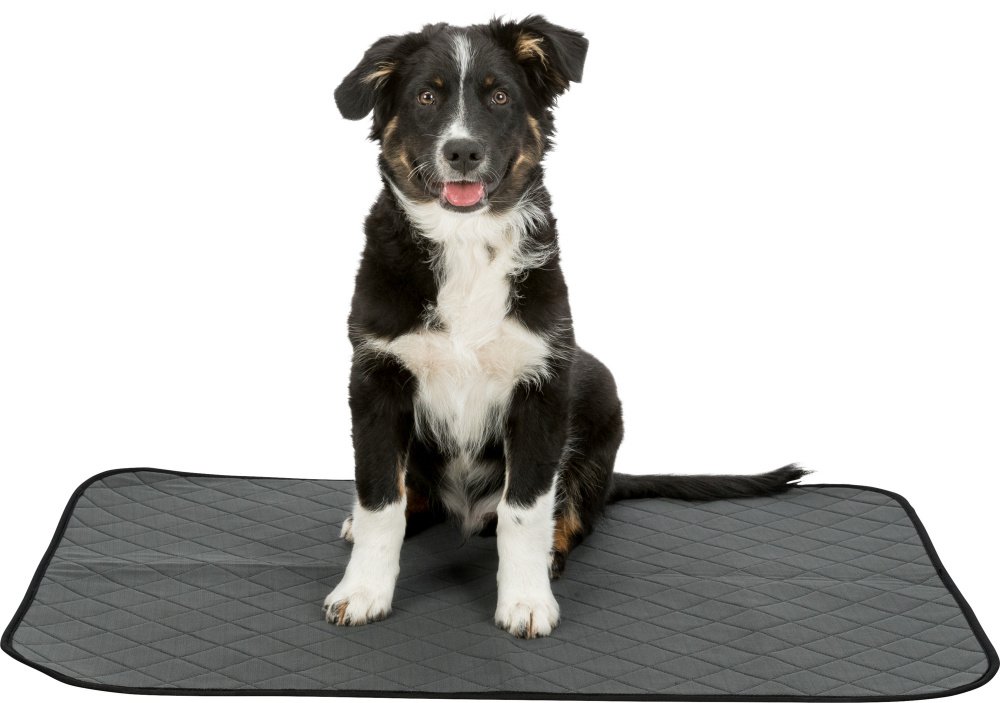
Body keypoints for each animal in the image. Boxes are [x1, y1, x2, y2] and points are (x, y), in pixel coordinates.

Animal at [322, 15, 806, 638]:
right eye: (426, 97)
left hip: (598, 385)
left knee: (570, 511)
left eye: (500, 96)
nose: (462, 150)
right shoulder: (375, 380)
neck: (464, 247)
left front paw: (526, 599)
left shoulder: (543, 383)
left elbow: (524, 509)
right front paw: (362, 591)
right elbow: (381, 499)